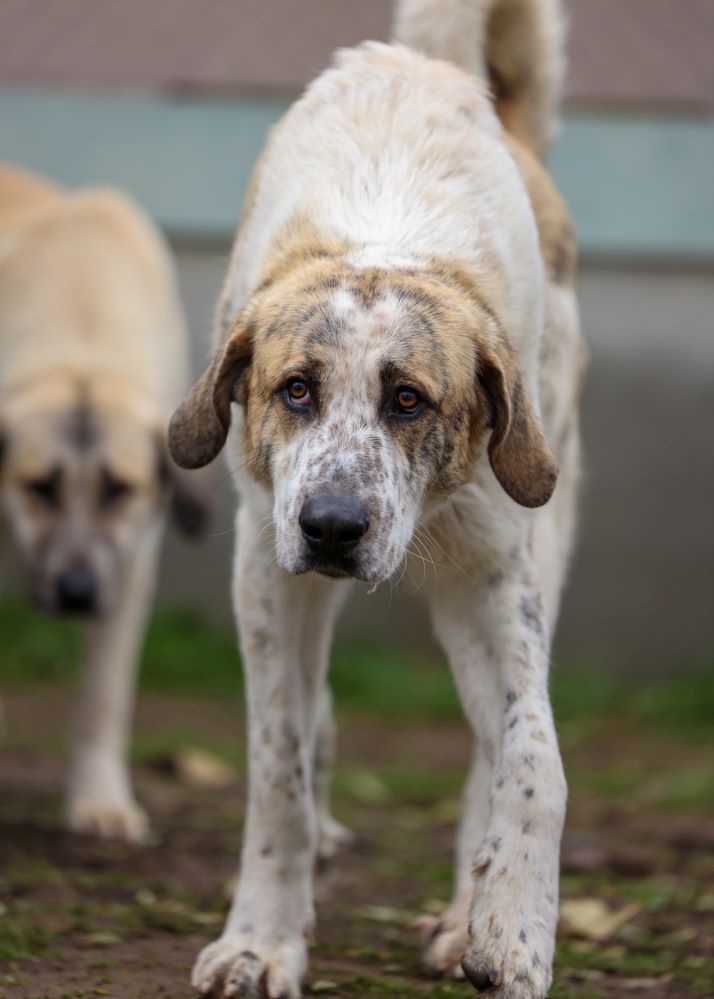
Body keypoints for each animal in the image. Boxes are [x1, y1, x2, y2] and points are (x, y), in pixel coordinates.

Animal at [0, 163, 207, 842]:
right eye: (39, 487)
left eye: (120, 490)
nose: (77, 593)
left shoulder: (130, 568)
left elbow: (102, 700)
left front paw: (100, 802)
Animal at [169, 0, 587, 994]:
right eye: (295, 390)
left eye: (409, 400)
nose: (332, 527)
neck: (388, 226)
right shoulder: (266, 566)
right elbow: (275, 766)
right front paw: (261, 939)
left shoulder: (493, 573)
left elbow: (533, 751)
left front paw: (514, 923)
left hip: (544, 533)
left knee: (490, 745)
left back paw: (465, 910)